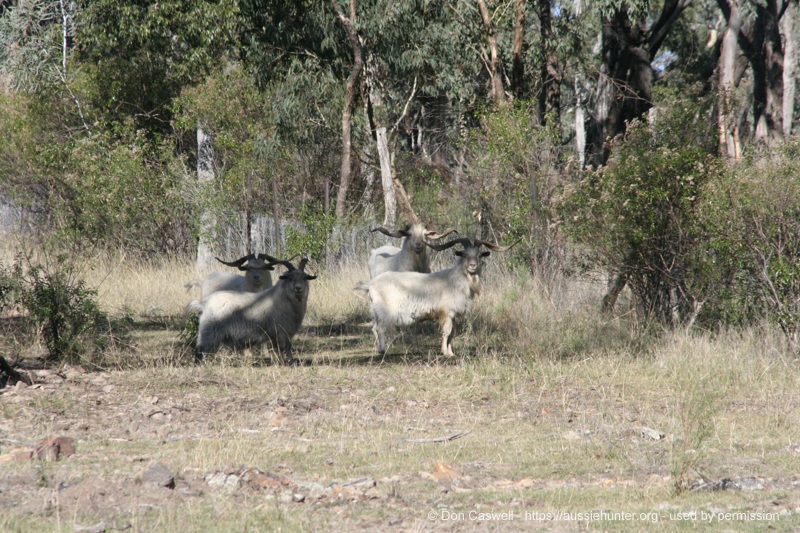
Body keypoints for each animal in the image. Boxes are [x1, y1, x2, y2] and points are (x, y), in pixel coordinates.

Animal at [356, 238, 512, 356]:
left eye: (479, 255)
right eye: (464, 255)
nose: (472, 266)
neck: (454, 281)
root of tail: (371, 285)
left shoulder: (453, 315)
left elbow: (452, 334)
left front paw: (451, 352)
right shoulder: (446, 312)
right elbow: (446, 332)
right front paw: (445, 353)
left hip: (377, 311)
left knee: (374, 328)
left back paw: (378, 349)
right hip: (385, 311)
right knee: (380, 329)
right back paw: (383, 351)